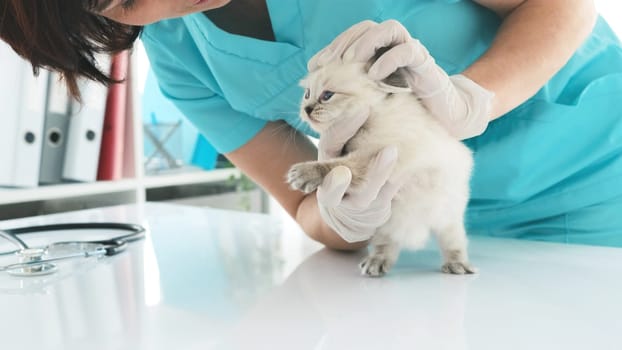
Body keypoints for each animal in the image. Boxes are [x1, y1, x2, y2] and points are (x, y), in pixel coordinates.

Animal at [288, 58, 478, 276]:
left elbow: (341, 166)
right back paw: (376, 263)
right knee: (385, 245)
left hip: (447, 217)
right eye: (307, 94)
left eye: (327, 96)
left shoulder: (376, 155)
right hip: (384, 224)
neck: (372, 116)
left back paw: (457, 264)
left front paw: (304, 173)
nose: (307, 109)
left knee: (454, 242)